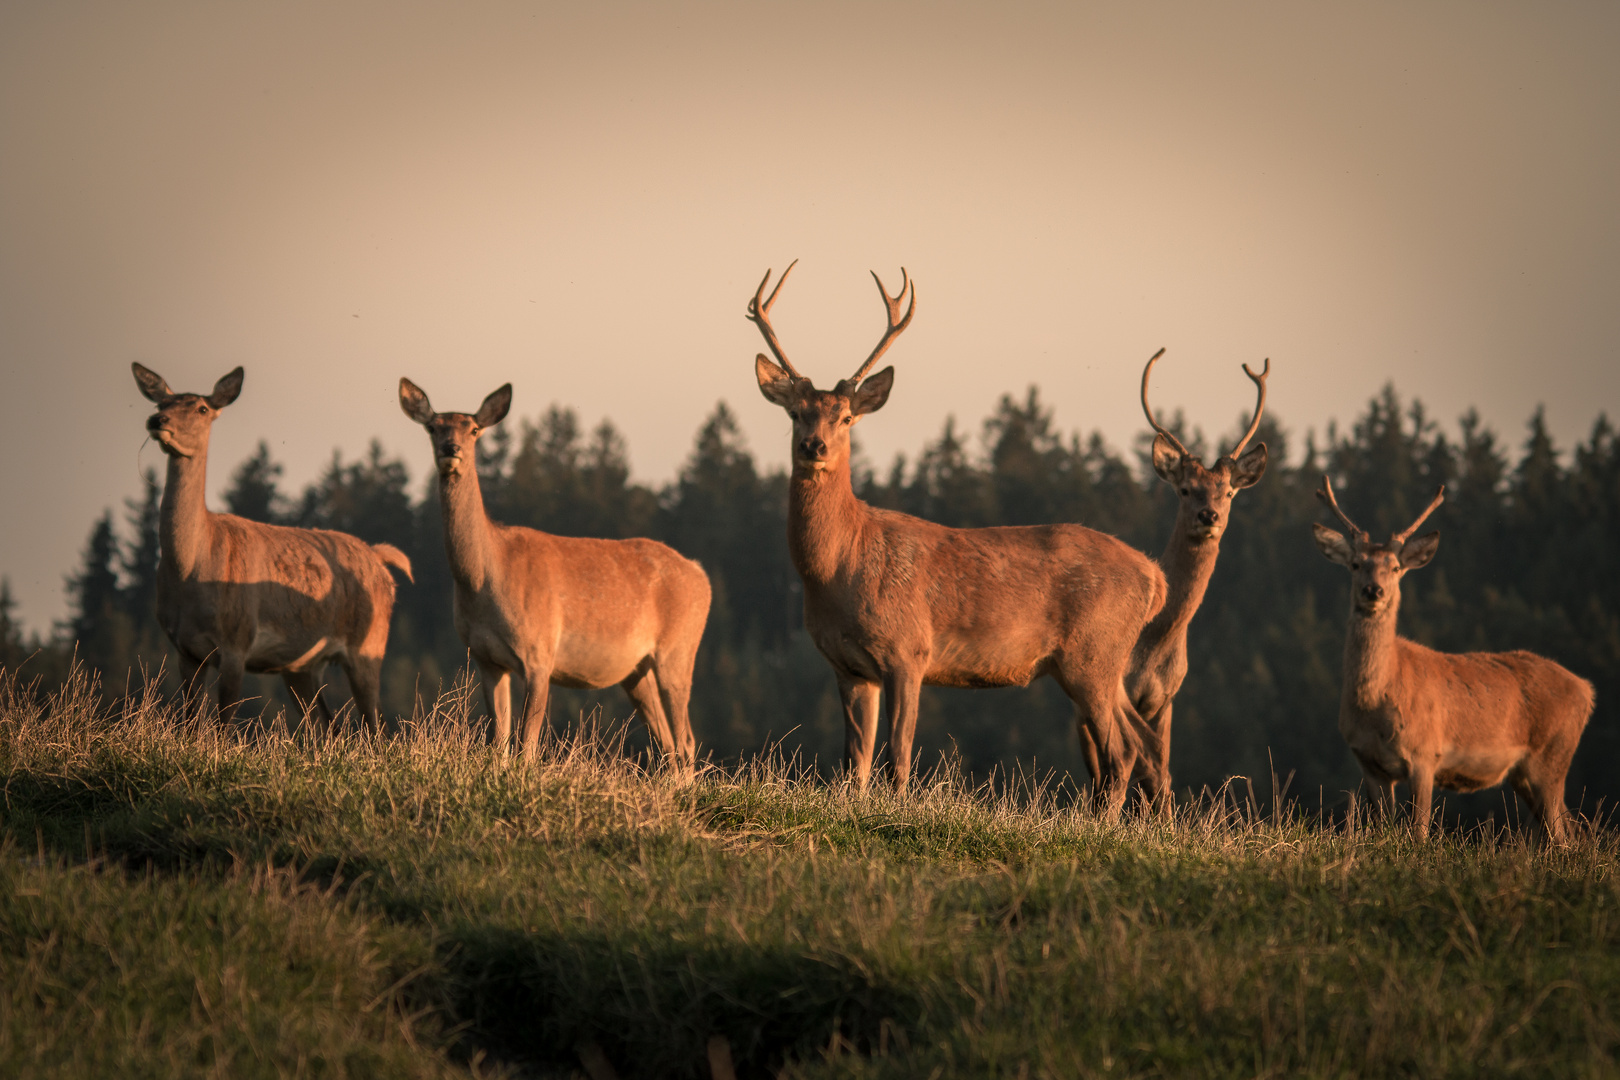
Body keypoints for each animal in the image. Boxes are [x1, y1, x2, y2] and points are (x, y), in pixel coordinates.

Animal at [745, 262, 1166, 816]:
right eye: (795, 413)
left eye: (847, 417)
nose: (814, 446)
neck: (838, 571)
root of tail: (1154, 575)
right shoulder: (849, 667)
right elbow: (853, 765)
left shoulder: (909, 649)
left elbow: (897, 757)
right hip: (1103, 661)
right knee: (1144, 742)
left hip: (1092, 654)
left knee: (1121, 750)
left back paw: (1099, 824)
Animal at [1308, 479, 1587, 841]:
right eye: (1356, 564)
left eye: (1395, 568)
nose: (1373, 591)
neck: (1376, 703)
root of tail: (1586, 690)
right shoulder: (1369, 763)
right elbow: (1381, 827)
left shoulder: (1425, 752)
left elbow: (1418, 829)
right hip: (1525, 773)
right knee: (1569, 830)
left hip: (1552, 755)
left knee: (1563, 835)